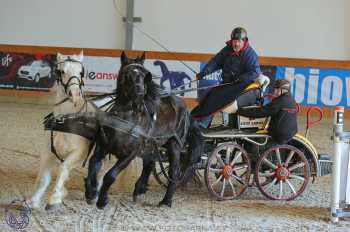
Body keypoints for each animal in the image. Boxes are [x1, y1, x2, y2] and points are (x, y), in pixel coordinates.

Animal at [85, 51, 198, 208]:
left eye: (145, 74)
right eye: (127, 73)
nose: (140, 92)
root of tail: (185, 109)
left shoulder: (130, 154)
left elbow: (110, 175)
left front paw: (102, 200)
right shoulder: (102, 147)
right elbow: (93, 165)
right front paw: (91, 193)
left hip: (174, 145)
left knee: (173, 171)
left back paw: (166, 201)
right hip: (152, 145)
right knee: (149, 164)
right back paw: (140, 190)